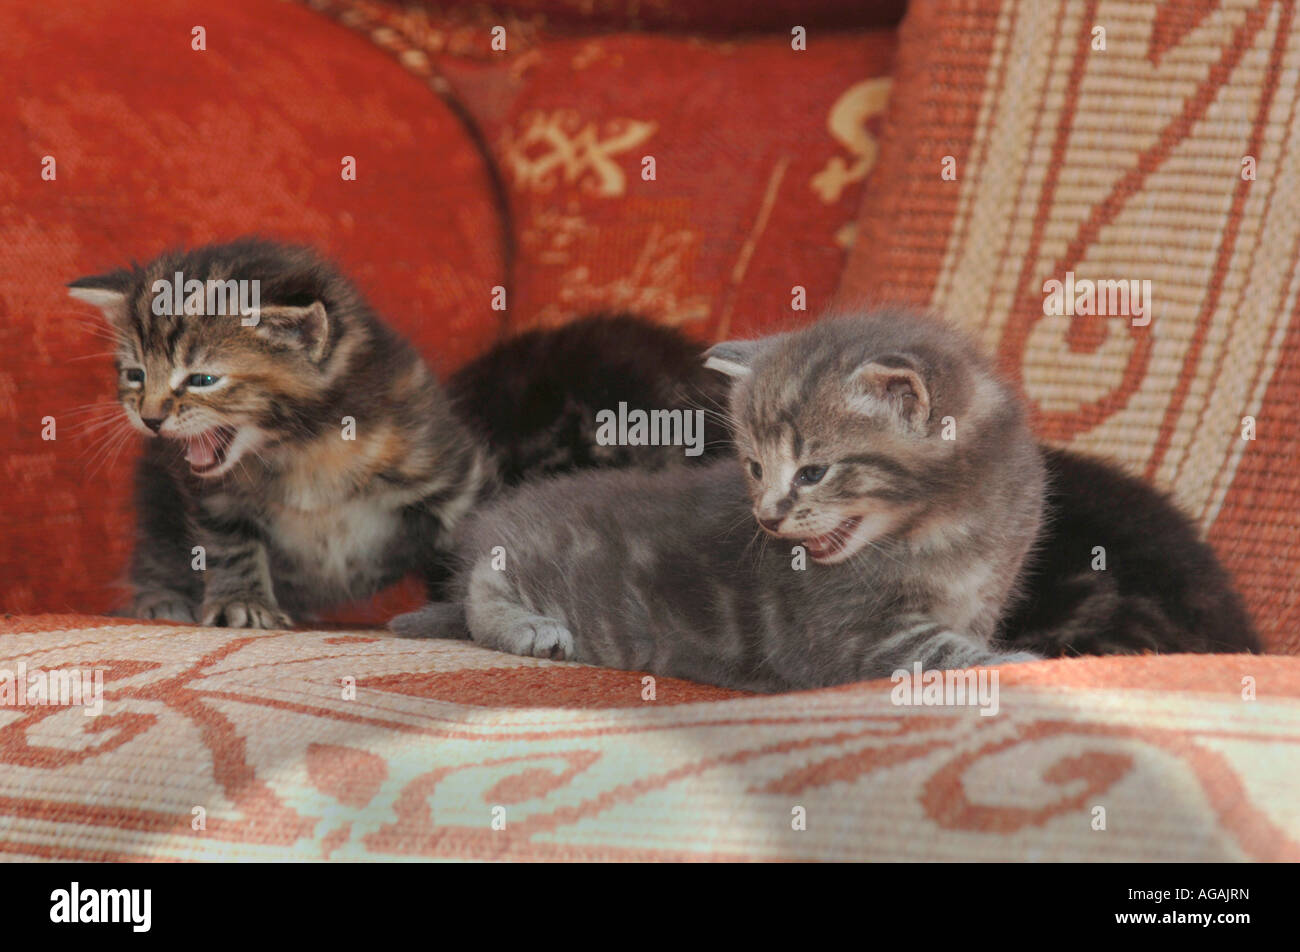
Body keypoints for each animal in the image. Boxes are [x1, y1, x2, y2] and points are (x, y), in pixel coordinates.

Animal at [392, 312, 1045, 691]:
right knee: (483, 582)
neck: (945, 529)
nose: (768, 518)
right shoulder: (858, 636)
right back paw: (526, 625)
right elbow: (942, 653)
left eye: (813, 472)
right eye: (755, 468)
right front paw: (1024, 662)